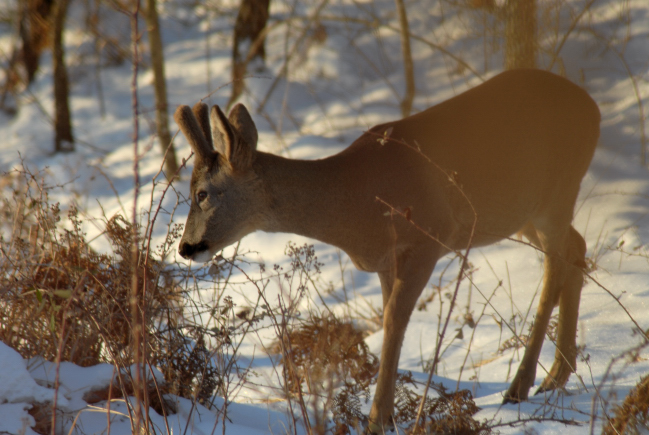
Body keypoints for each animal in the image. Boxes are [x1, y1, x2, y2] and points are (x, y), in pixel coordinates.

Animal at [175, 68, 600, 432]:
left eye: (202, 193)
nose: (184, 247)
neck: (357, 199)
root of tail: (592, 106)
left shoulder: (429, 237)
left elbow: (395, 322)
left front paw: (379, 419)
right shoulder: (384, 262)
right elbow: (386, 322)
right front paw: (386, 413)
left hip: (556, 193)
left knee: (555, 266)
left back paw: (522, 384)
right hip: (522, 212)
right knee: (576, 247)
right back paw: (557, 375)